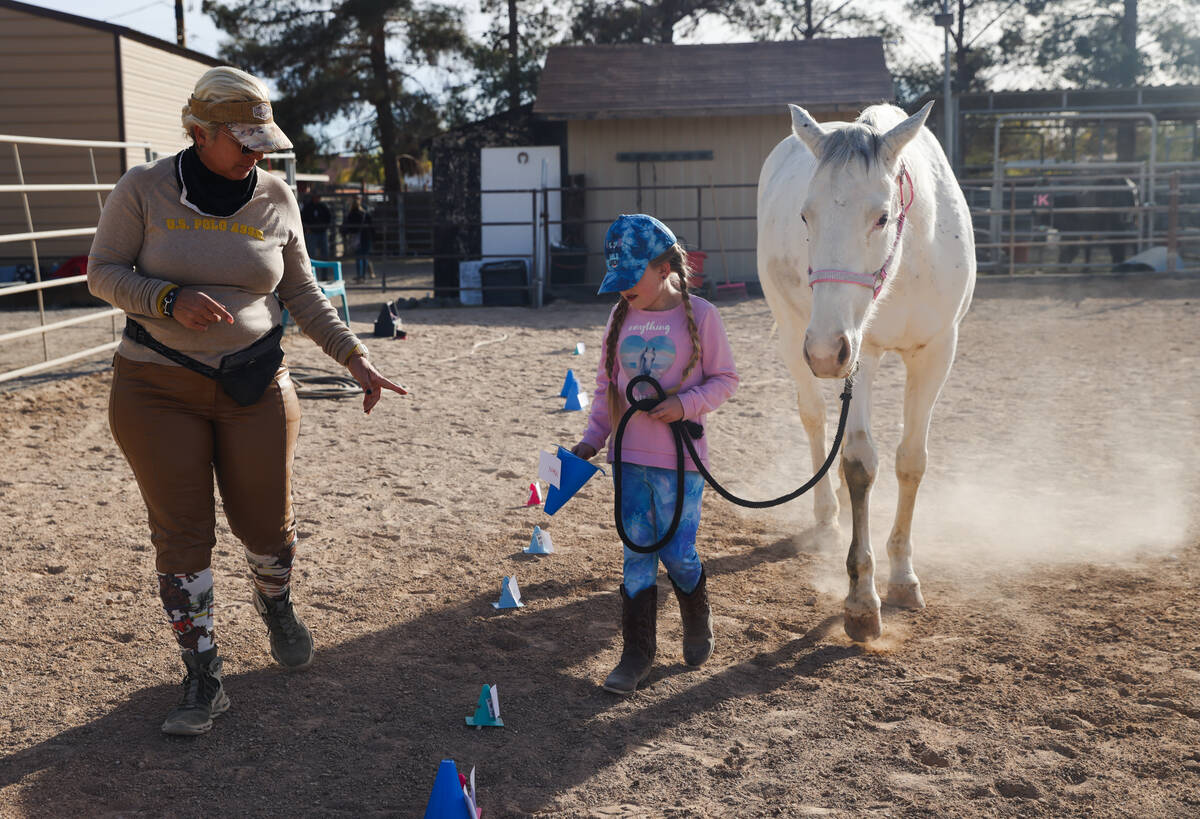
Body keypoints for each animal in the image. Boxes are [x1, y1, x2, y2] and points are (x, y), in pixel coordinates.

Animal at [758, 100, 974, 638]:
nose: (824, 351)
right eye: (805, 214)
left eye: (882, 216)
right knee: (815, 421)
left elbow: (911, 461)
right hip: (794, 331)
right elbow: (859, 465)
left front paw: (903, 577)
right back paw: (826, 517)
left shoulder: (937, 351)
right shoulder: (861, 355)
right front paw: (861, 599)